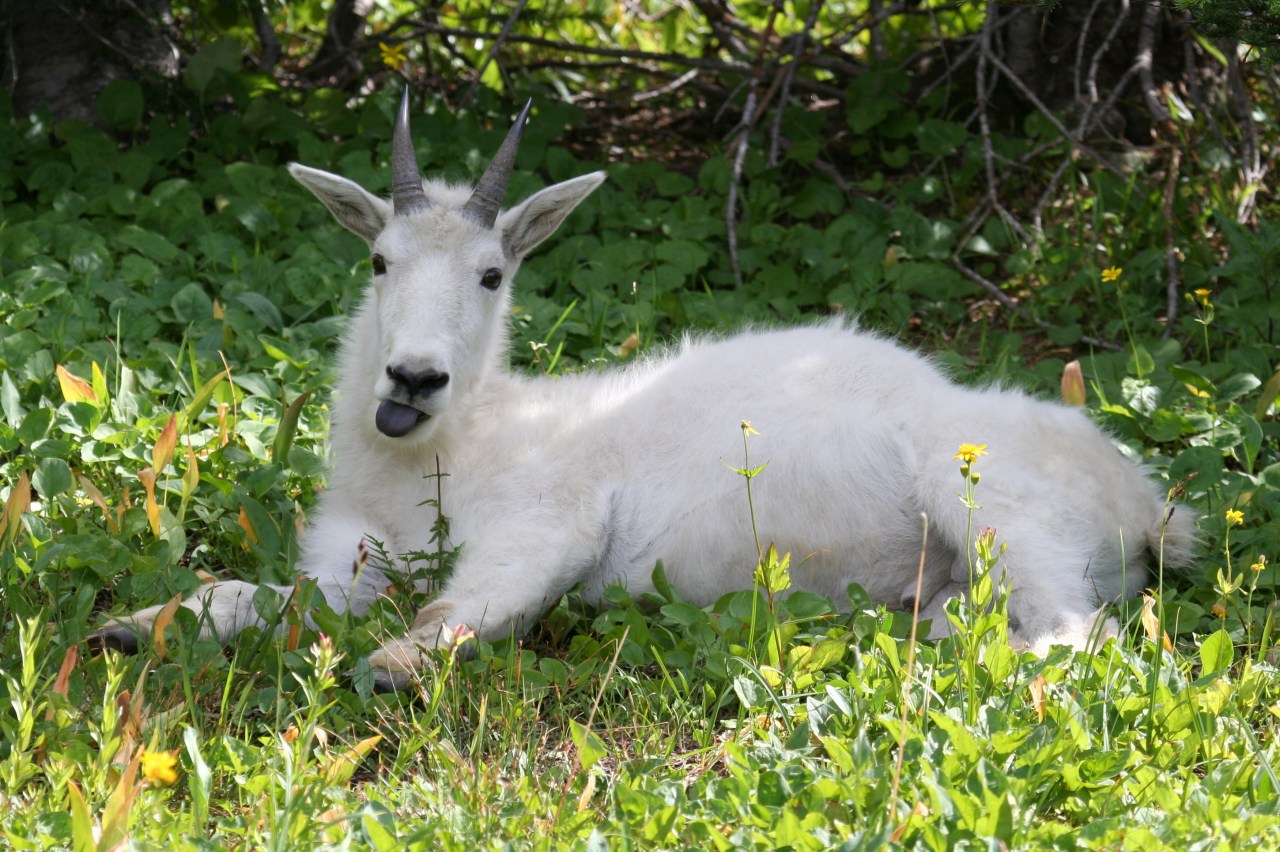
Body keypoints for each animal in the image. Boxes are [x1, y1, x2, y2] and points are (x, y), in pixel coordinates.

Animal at [94, 90, 1196, 689]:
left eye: (492, 274)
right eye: (378, 259)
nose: (410, 377)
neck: (446, 456)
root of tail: (1149, 502)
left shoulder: (549, 530)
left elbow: (455, 613)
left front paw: (390, 668)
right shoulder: (342, 564)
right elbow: (246, 594)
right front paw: (130, 626)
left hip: (996, 510)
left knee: (1074, 637)